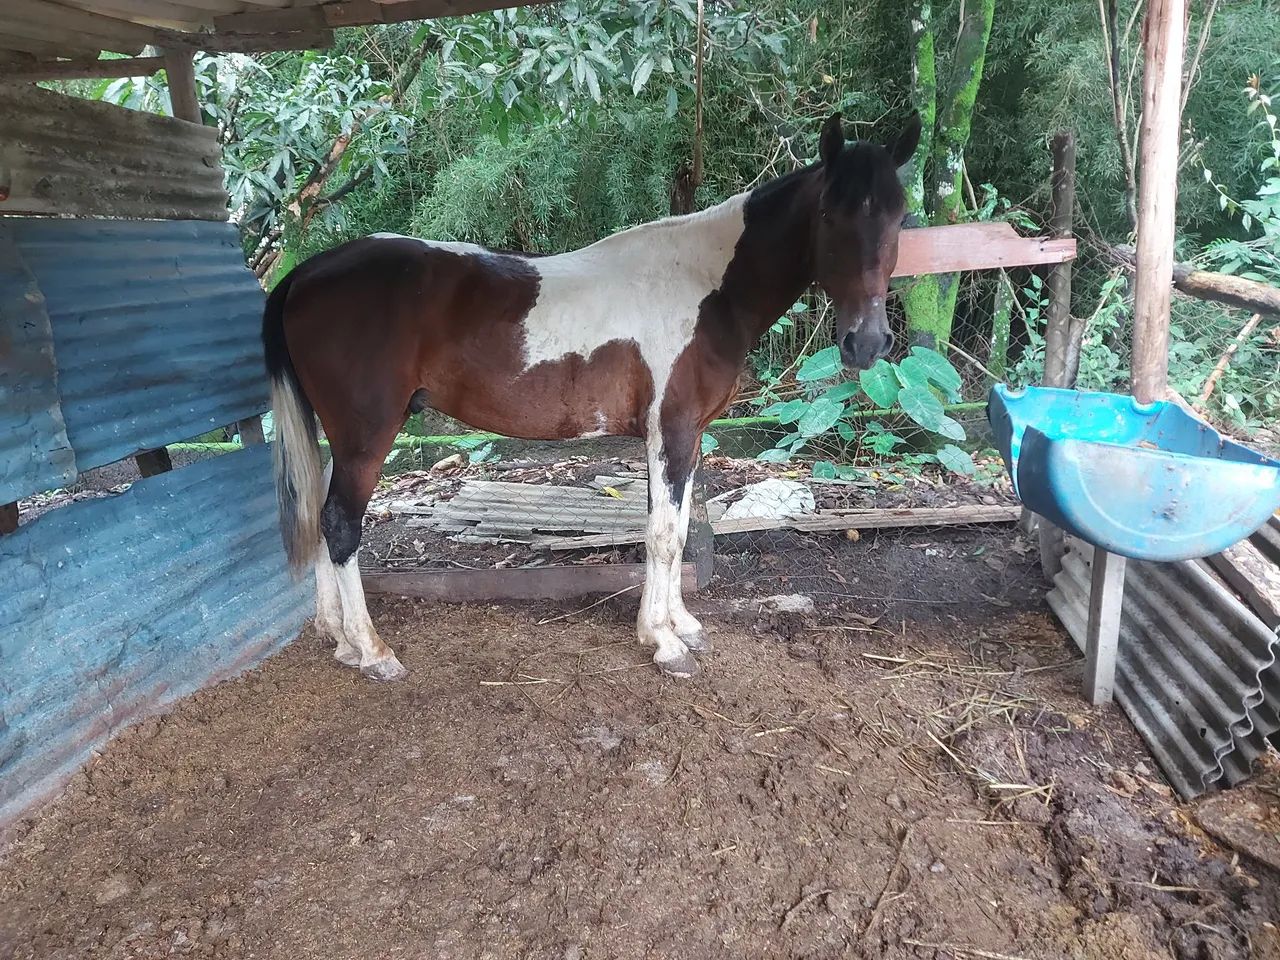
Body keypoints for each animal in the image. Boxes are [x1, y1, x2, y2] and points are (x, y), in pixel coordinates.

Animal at [262, 111, 921, 681]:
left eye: (900, 215)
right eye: (831, 213)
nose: (867, 342)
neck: (709, 289)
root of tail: (306, 273)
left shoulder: (688, 436)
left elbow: (674, 525)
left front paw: (680, 625)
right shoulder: (671, 430)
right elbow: (663, 535)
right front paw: (664, 644)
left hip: (342, 436)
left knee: (323, 516)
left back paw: (337, 637)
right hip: (367, 434)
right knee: (341, 523)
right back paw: (372, 651)